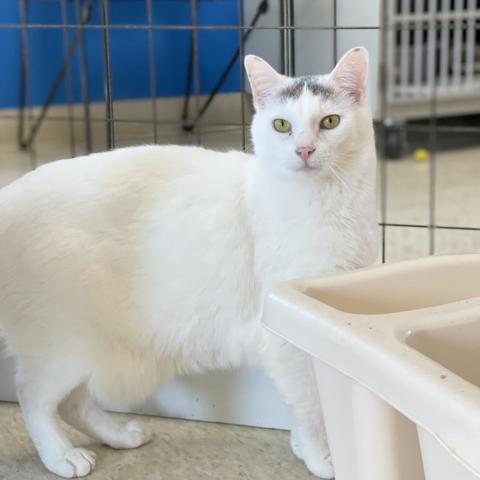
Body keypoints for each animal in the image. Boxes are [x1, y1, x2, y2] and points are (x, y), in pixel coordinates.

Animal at [0, 47, 378, 478]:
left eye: (330, 122)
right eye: (282, 125)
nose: (304, 150)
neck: (328, 205)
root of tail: (8, 195)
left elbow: (303, 404)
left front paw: (304, 447)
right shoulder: (287, 341)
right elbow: (311, 407)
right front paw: (321, 456)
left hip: (84, 348)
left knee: (73, 401)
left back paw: (119, 436)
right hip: (61, 345)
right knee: (34, 396)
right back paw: (61, 456)